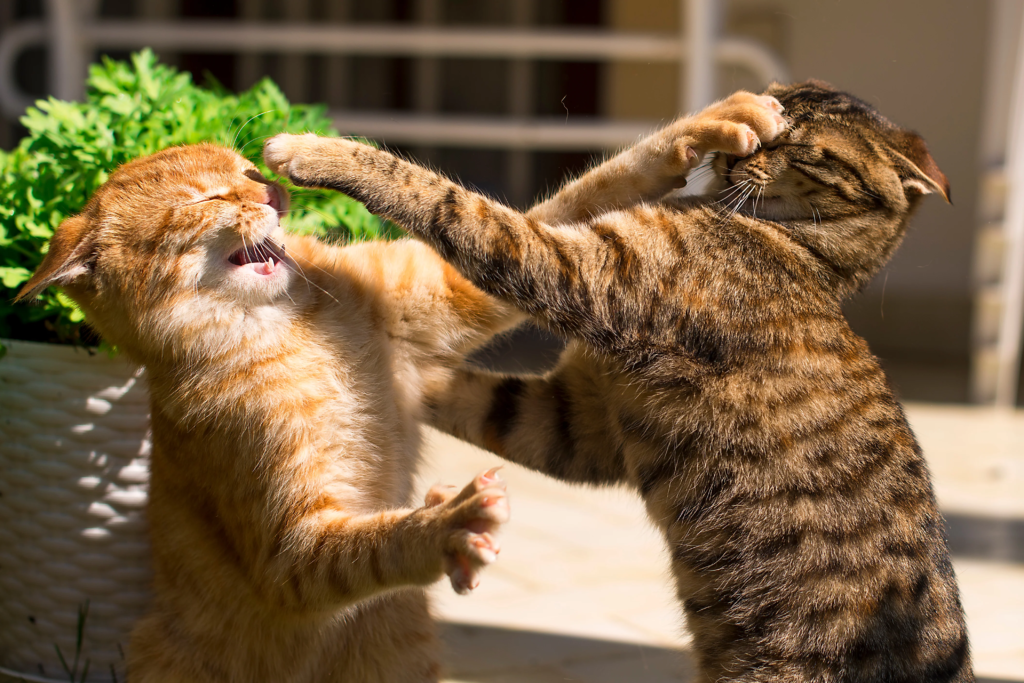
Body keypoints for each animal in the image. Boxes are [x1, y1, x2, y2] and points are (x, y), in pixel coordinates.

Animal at [16, 143, 528, 679]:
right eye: (207, 197)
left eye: (251, 171)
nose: (272, 192)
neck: (289, 322)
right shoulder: (292, 553)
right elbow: (379, 545)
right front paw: (447, 524)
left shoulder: (452, 291)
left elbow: (525, 225)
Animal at [266, 81, 974, 683]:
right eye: (771, 118)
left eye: (797, 146)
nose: (741, 153)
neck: (804, 254)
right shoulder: (576, 420)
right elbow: (465, 392)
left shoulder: (574, 271)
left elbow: (449, 200)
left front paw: (313, 150)